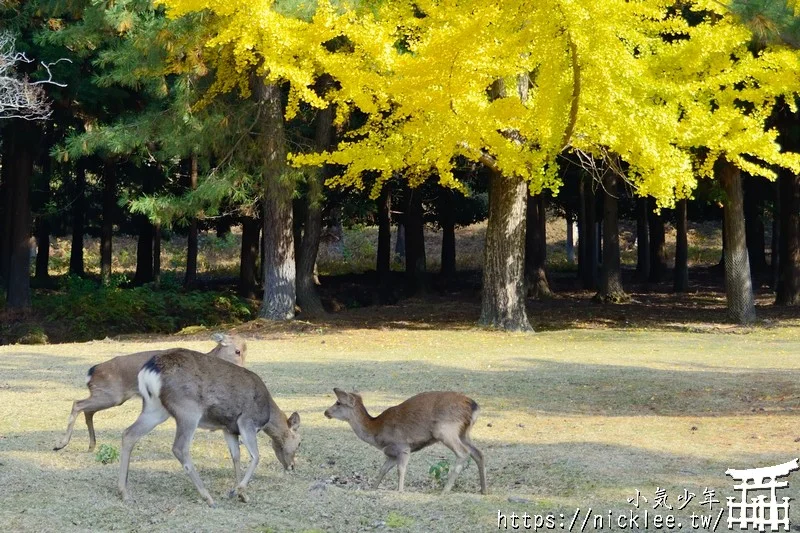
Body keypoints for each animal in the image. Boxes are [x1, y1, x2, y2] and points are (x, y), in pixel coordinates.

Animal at [55, 332, 247, 448]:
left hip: (107, 395)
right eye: (237, 351)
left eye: (246, 350)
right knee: (78, 404)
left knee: (88, 410)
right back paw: (61, 444)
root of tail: (91, 372)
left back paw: (91, 445)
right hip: (110, 395)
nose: (243, 369)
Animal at [119, 348, 304, 504]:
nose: (292, 466)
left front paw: (241, 494)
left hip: (155, 408)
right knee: (180, 447)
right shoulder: (246, 421)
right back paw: (207, 497)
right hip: (188, 410)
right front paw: (237, 490)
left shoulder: (228, 429)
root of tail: (148, 370)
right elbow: (256, 456)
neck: (267, 414)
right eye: (300, 442)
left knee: (129, 434)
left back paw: (124, 493)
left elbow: (236, 456)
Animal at [324, 386, 488, 494]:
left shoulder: (403, 447)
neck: (377, 432)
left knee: (463, 452)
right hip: (464, 433)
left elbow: (401, 470)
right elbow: (383, 469)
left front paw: (400, 491)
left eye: (338, 402)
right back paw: (483, 490)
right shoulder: (391, 453)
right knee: (478, 453)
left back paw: (444, 491)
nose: (326, 412)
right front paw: (373, 489)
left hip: (445, 429)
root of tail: (475, 407)